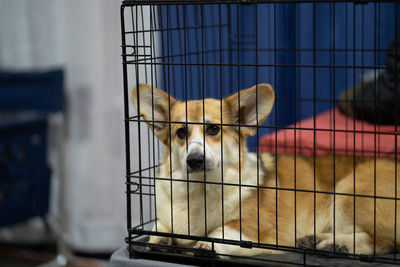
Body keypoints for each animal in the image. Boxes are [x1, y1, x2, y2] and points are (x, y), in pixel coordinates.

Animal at [133, 84, 400, 258]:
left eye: (213, 129)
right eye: (180, 132)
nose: (194, 161)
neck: (200, 188)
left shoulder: (256, 230)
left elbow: (220, 232)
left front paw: (206, 244)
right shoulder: (167, 216)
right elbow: (159, 226)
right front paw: (159, 238)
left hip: (348, 192)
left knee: (384, 241)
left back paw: (337, 244)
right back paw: (317, 240)